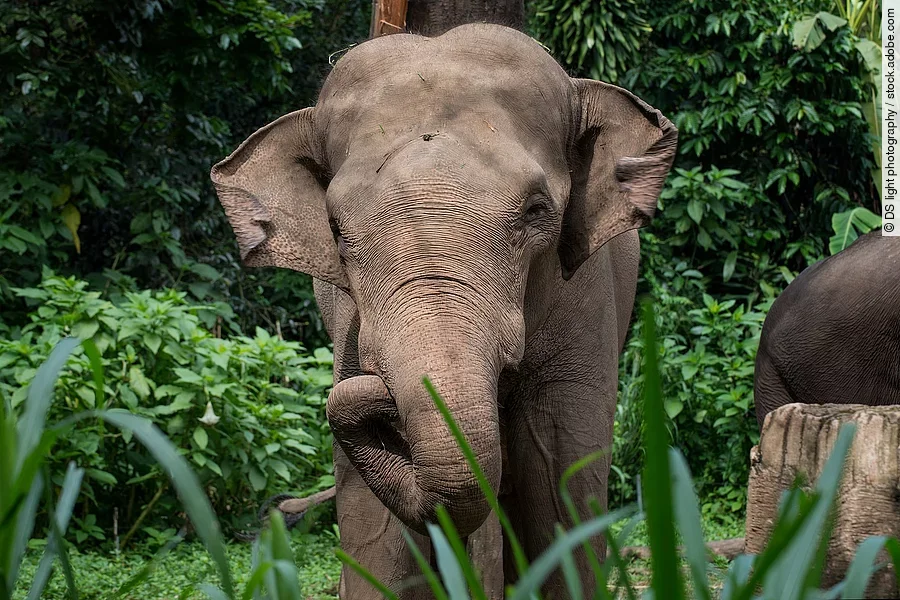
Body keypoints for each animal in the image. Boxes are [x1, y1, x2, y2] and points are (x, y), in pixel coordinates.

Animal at [211, 23, 677, 599]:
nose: (376, 394)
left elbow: (561, 472)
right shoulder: (349, 320)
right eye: (336, 230)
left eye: (537, 211)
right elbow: (374, 520)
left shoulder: (585, 298)